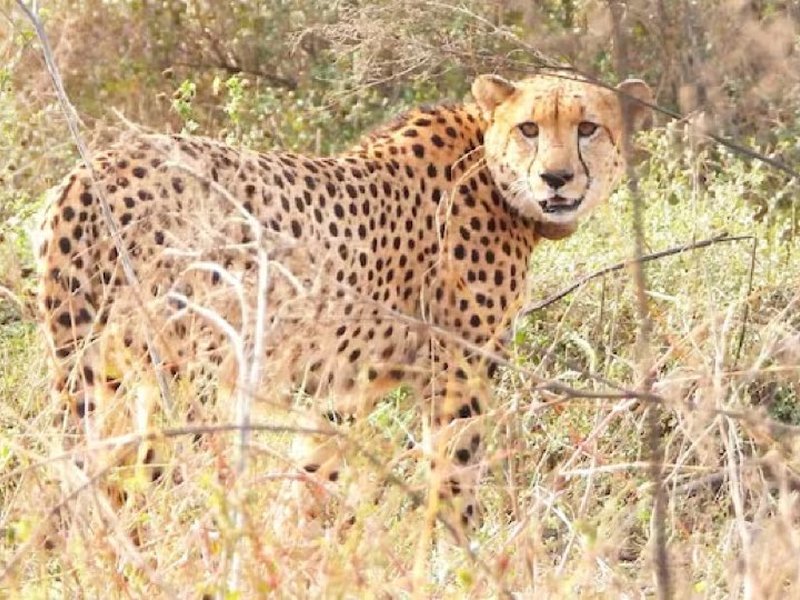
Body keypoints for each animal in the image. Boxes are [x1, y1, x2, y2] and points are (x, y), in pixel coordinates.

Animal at [36, 71, 653, 536]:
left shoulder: (343, 389)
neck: (490, 167)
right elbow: (453, 478)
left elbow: (312, 475)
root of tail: (92, 169)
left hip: (103, 370)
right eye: (529, 128)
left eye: (588, 128)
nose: (556, 177)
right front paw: (457, 557)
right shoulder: (457, 376)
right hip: (184, 375)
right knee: (152, 478)